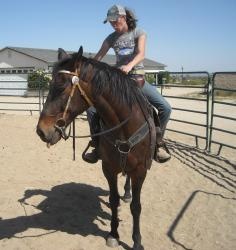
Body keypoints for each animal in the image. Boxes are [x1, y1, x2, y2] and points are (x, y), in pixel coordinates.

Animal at [37, 47, 157, 250]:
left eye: (61, 87)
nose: (41, 131)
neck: (124, 126)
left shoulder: (140, 171)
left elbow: (136, 206)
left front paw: (137, 241)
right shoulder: (108, 168)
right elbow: (113, 200)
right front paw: (114, 234)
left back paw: (127, 193)